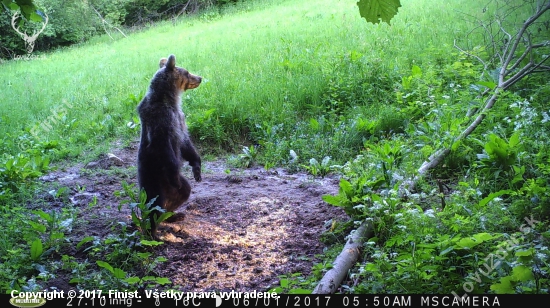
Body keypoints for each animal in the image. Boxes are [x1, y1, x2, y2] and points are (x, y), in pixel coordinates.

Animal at [137, 54, 203, 239]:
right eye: (187, 72)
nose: (200, 78)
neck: (169, 100)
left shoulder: (179, 120)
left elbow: (186, 144)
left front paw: (197, 168)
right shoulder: (161, 124)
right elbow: (166, 149)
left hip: (172, 185)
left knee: (184, 191)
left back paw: (172, 214)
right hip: (154, 179)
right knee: (153, 205)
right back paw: (151, 232)